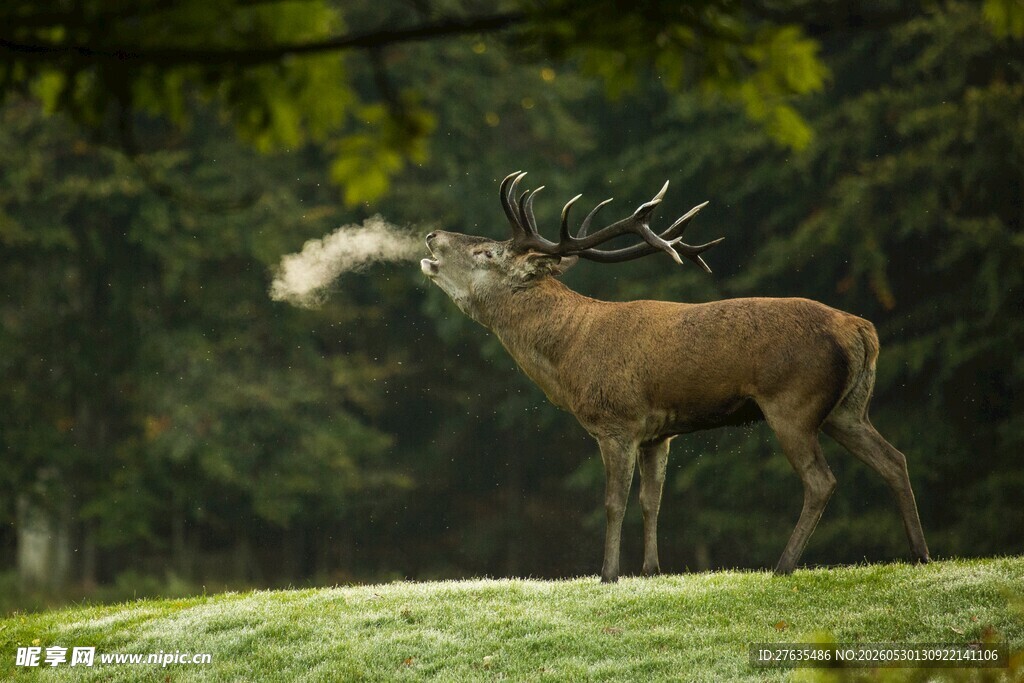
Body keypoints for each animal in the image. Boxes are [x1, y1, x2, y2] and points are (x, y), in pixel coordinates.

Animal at [421, 171, 931, 582]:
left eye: (487, 252)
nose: (430, 236)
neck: (570, 357)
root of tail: (863, 330)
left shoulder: (617, 422)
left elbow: (614, 503)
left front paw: (608, 575)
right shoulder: (658, 433)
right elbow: (653, 500)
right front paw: (651, 570)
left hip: (794, 403)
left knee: (821, 480)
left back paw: (783, 566)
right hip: (848, 408)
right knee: (894, 459)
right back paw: (920, 554)